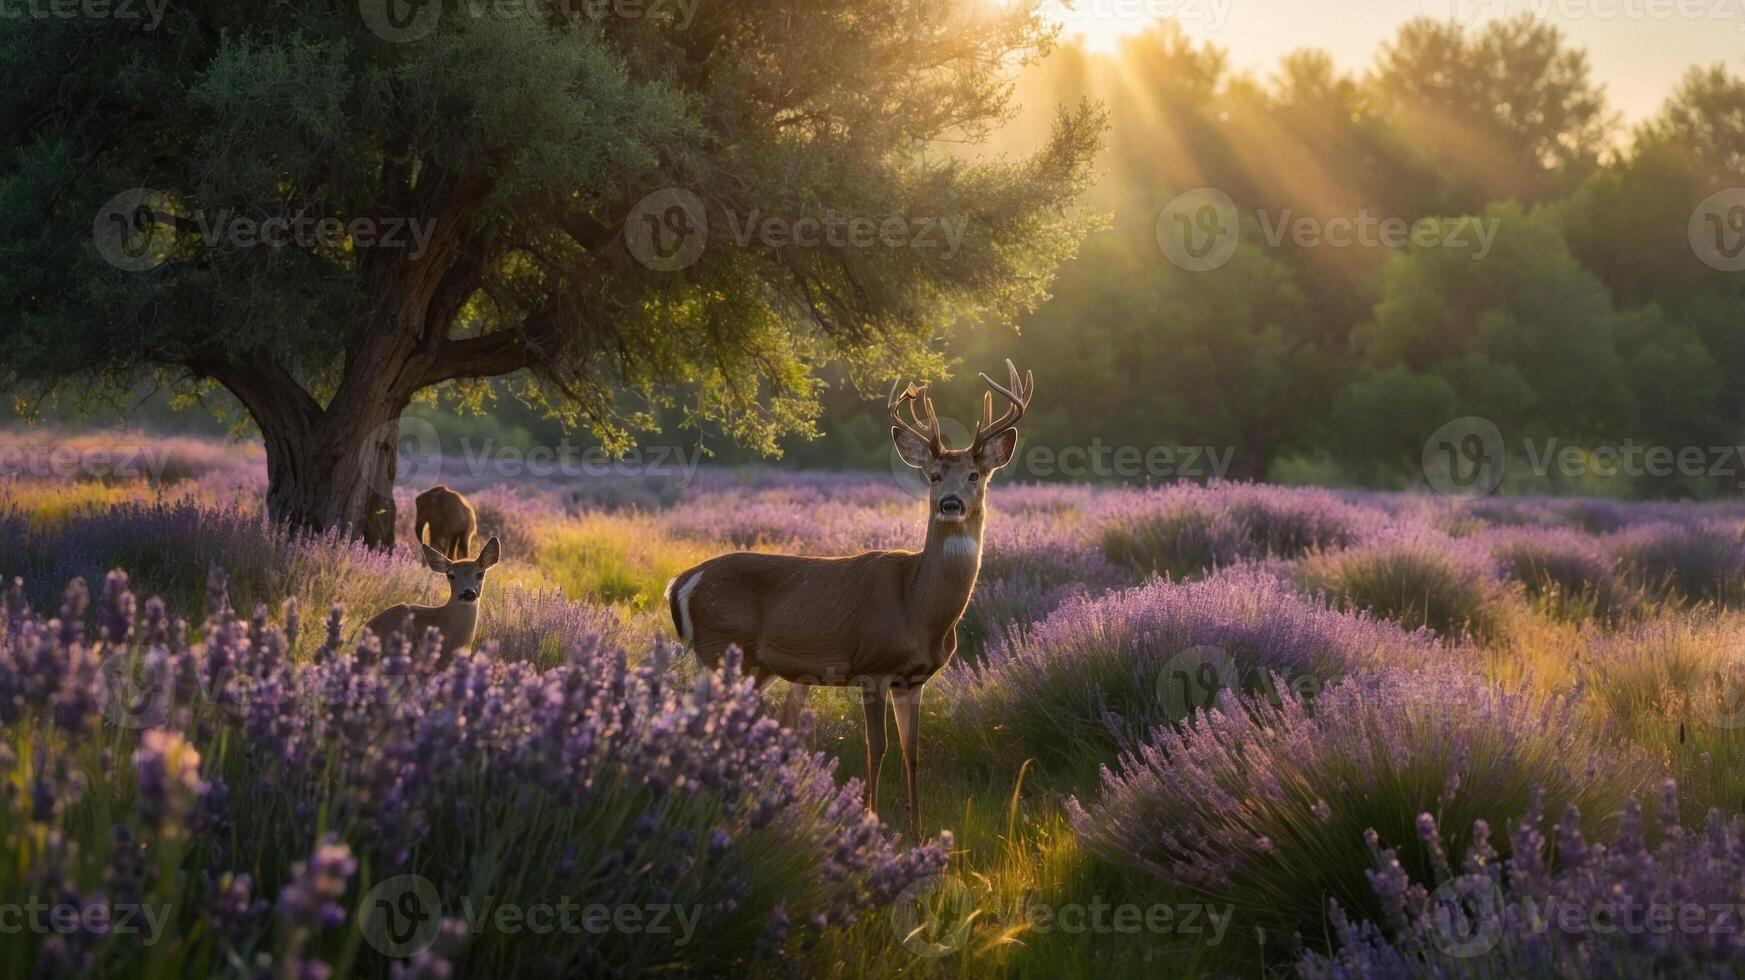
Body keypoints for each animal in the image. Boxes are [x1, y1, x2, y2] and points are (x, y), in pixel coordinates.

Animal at [664, 360, 1032, 841]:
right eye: (934, 476)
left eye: (975, 475)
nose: (951, 503)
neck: (919, 608)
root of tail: (680, 581)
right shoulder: (873, 666)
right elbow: (876, 748)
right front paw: (871, 821)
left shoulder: (914, 680)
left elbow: (912, 751)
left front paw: (917, 831)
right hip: (718, 649)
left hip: (752, 667)